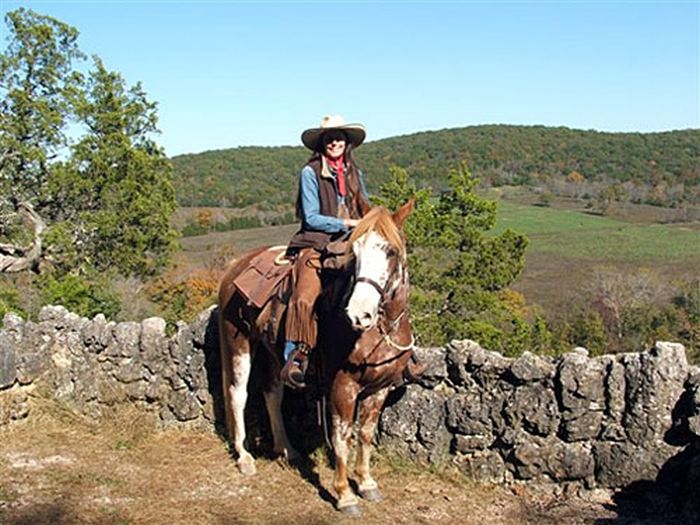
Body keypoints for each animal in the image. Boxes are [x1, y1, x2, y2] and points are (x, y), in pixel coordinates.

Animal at [219, 201, 416, 516]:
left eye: (390, 251)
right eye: (355, 251)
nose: (359, 314)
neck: (379, 329)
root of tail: (235, 266)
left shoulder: (380, 387)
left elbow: (365, 434)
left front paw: (366, 483)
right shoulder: (342, 387)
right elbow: (342, 437)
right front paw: (345, 495)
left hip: (274, 354)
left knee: (272, 393)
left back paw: (287, 449)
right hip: (238, 343)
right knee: (238, 395)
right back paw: (244, 457)